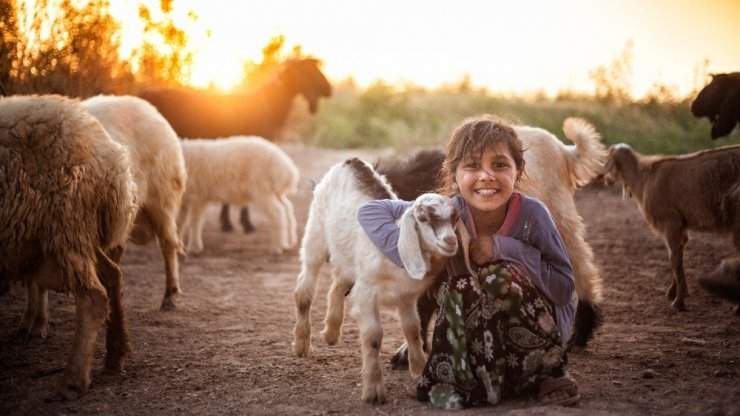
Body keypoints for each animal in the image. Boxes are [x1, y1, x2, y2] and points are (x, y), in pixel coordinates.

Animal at [1, 94, 139, 400]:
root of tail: (113, 158)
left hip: (66, 225)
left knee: (93, 297)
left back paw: (72, 381)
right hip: (75, 232)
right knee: (112, 275)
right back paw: (114, 357)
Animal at [294, 157, 456, 404]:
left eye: (454, 217)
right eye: (422, 217)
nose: (450, 241)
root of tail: (349, 161)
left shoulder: (406, 295)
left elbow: (412, 328)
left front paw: (417, 369)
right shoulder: (368, 293)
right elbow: (373, 336)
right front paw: (373, 390)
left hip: (348, 257)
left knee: (337, 285)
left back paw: (331, 332)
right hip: (316, 236)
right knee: (305, 288)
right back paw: (302, 343)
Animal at [604, 141, 740, 310]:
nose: (605, 179)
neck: (643, 179)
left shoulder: (670, 223)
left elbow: (674, 258)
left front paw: (678, 302)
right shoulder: (680, 226)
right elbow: (677, 257)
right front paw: (676, 292)